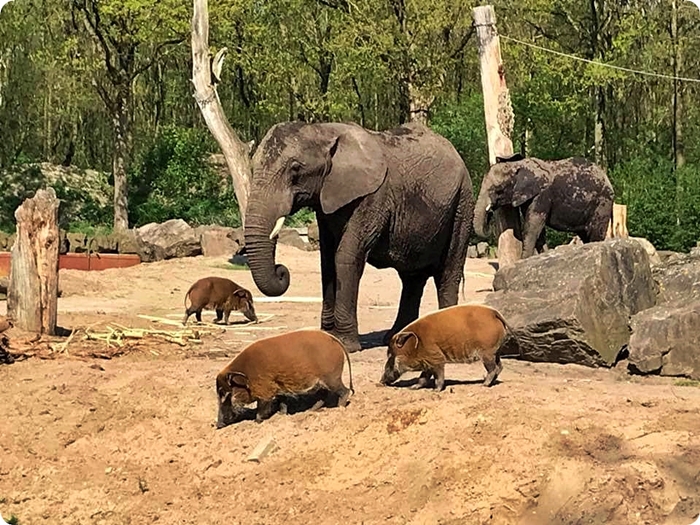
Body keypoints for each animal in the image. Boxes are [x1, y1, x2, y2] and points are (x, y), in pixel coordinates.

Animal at [215, 330, 356, 428]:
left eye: (225, 393)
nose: (218, 425)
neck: (247, 374)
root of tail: (333, 339)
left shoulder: (266, 390)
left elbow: (262, 406)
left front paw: (257, 421)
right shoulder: (279, 387)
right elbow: (282, 402)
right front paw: (282, 415)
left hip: (332, 378)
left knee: (345, 390)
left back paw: (340, 408)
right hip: (322, 382)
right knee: (323, 396)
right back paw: (310, 410)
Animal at [243, 119, 474, 352]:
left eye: (295, 169)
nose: (281, 271)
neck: (324, 130)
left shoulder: (373, 198)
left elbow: (345, 258)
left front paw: (346, 344)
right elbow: (327, 261)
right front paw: (329, 335)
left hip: (462, 203)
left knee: (448, 272)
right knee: (412, 278)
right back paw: (396, 337)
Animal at [476, 154, 612, 258]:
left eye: (498, 190)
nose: (490, 212)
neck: (520, 165)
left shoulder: (542, 194)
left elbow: (533, 225)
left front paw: (523, 260)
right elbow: (538, 229)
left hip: (602, 204)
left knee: (595, 232)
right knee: (585, 234)